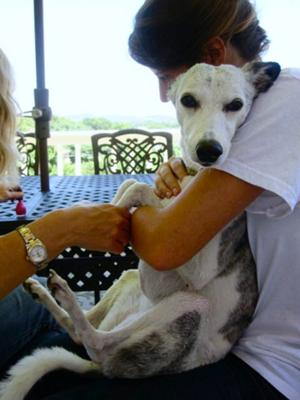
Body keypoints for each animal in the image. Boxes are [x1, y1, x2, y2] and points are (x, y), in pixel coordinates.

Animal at [0, 60, 282, 400]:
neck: (190, 178)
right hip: (129, 277)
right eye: (188, 100)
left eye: (236, 105)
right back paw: (46, 290)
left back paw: (65, 296)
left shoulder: (198, 266)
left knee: (96, 342)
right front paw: (104, 209)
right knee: (83, 333)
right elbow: (131, 183)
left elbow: (138, 187)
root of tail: (104, 369)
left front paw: (115, 210)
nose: (209, 151)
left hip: (189, 306)